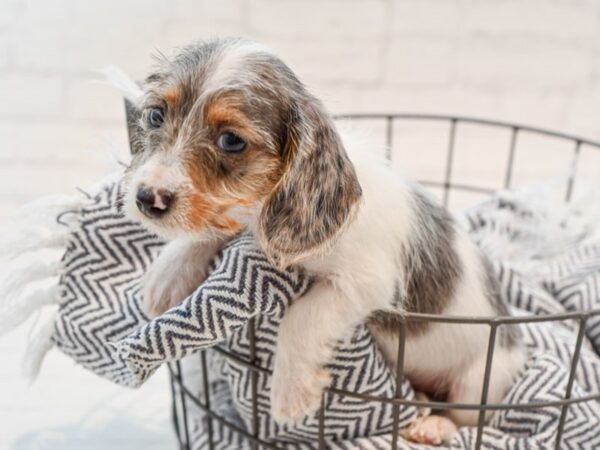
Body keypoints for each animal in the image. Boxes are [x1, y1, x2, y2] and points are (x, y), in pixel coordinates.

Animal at [123, 37, 524, 442]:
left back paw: (434, 425)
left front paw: (290, 391)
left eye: (231, 141)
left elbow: (302, 316)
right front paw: (168, 273)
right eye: (156, 116)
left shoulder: (365, 282)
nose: (147, 198)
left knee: (467, 418)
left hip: (482, 379)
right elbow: (218, 225)